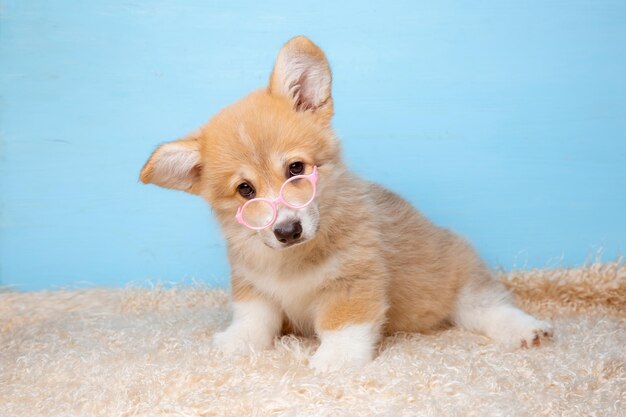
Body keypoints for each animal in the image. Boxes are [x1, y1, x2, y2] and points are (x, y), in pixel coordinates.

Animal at [140, 35, 552, 368]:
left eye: (295, 168)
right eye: (245, 190)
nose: (287, 230)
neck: (292, 261)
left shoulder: (354, 282)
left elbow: (342, 326)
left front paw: (334, 360)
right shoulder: (253, 286)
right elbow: (253, 318)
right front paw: (237, 342)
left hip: (460, 280)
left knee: (489, 307)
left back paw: (528, 330)